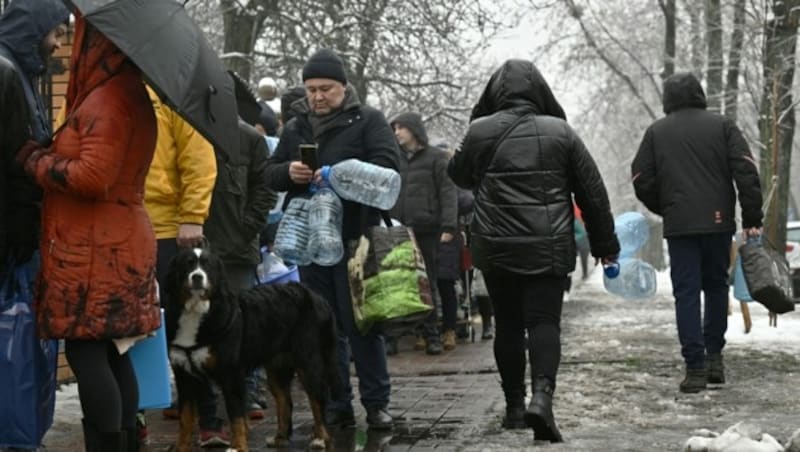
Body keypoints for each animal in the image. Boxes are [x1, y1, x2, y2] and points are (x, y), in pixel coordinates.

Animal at [162, 247, 338, 452]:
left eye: (207, 266)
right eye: (188, 264)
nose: (197, 276)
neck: (196, 313)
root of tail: (317, 296)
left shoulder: (230, 374)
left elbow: (236, 416)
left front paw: (238, 446)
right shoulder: (184, 376)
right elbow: (185, 418)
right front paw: (181, 446)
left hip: (309, 362)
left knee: (318, 401)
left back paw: (320, 438)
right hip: (277, 367)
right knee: (285, 401)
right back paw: (280, 438)